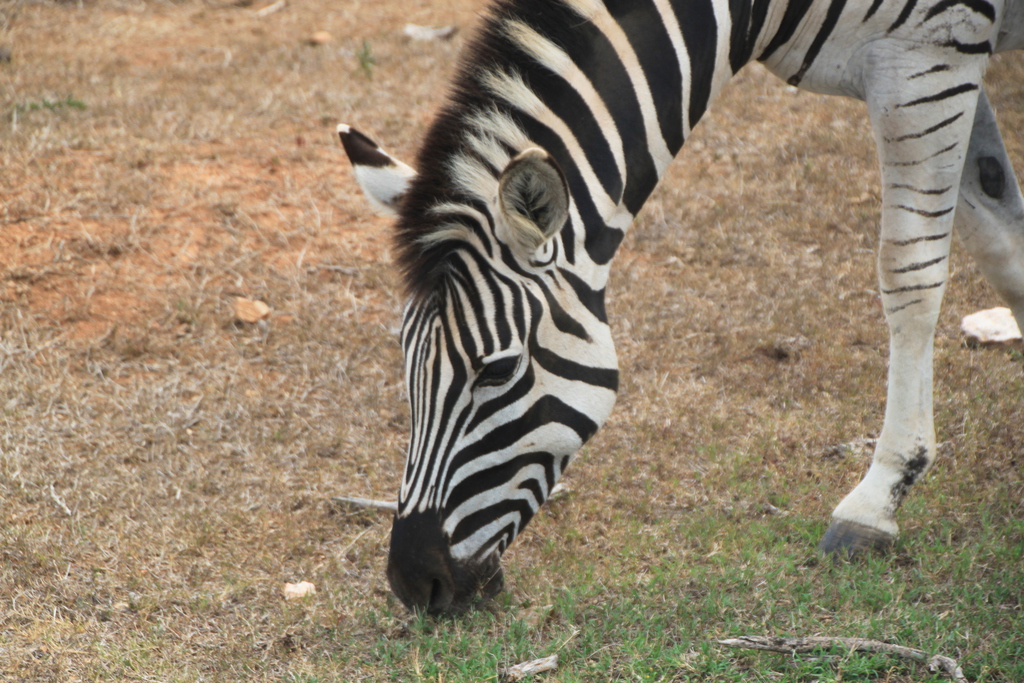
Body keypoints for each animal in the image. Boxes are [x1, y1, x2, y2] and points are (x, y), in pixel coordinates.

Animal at [338, 0, 1024, 614]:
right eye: (405, 365)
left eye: (499, 370)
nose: (412, 583)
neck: (759, 13)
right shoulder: (943, 65)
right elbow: (1000, 237)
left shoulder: (928, 58)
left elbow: (909, 273)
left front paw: (877, 501)